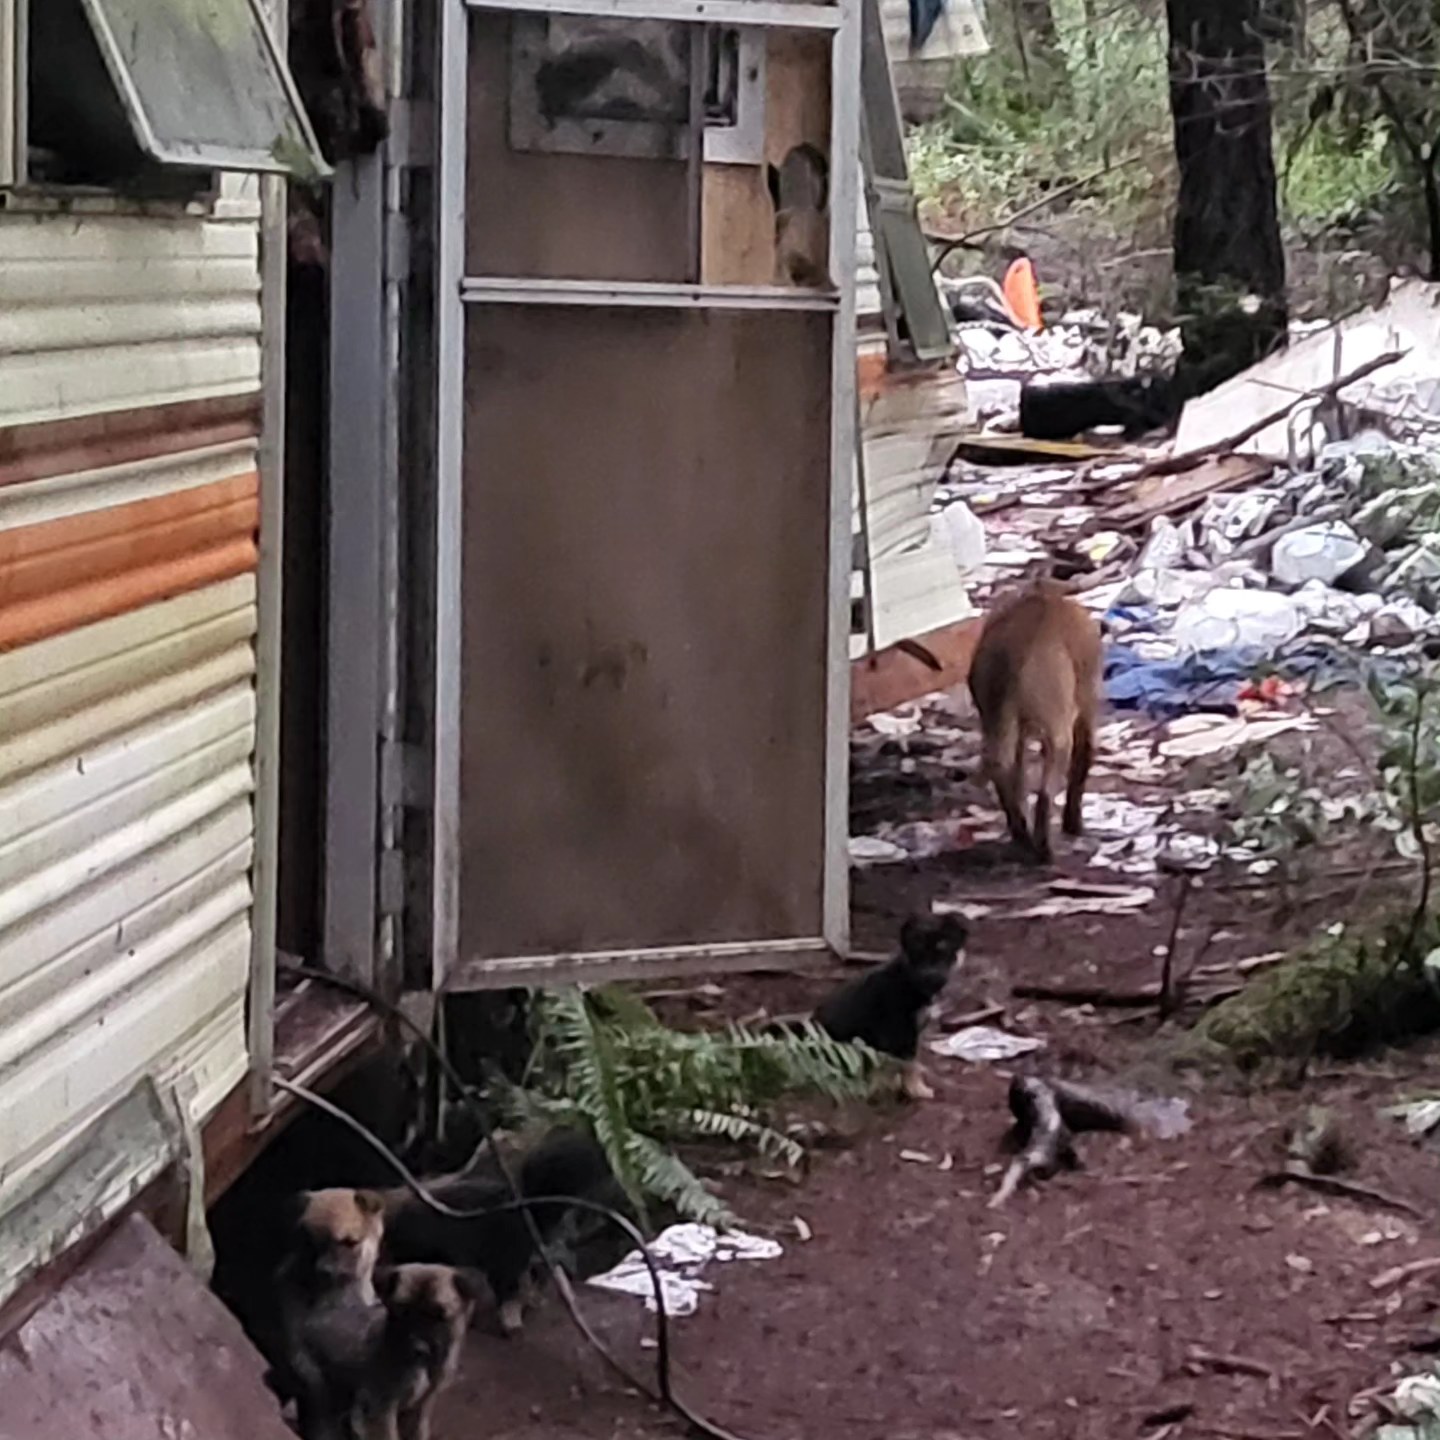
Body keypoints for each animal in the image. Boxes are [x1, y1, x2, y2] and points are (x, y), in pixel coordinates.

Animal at [812, 910, 967, 1100]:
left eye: (942, 950)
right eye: (917, 953)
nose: (931, 978)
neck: (908, 978)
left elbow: (907, 1062)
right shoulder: (903, 1032)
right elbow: (910, 1064)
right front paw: (915, 1089)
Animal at [967, 576, 1100, 864]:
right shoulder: (1085, 714)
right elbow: (1081, 767)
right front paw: (1073, 824)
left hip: (998, 727)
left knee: (1007, 777)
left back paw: (1021, 834)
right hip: (1058, 734)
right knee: (1045, 794)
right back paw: (1044, 847)